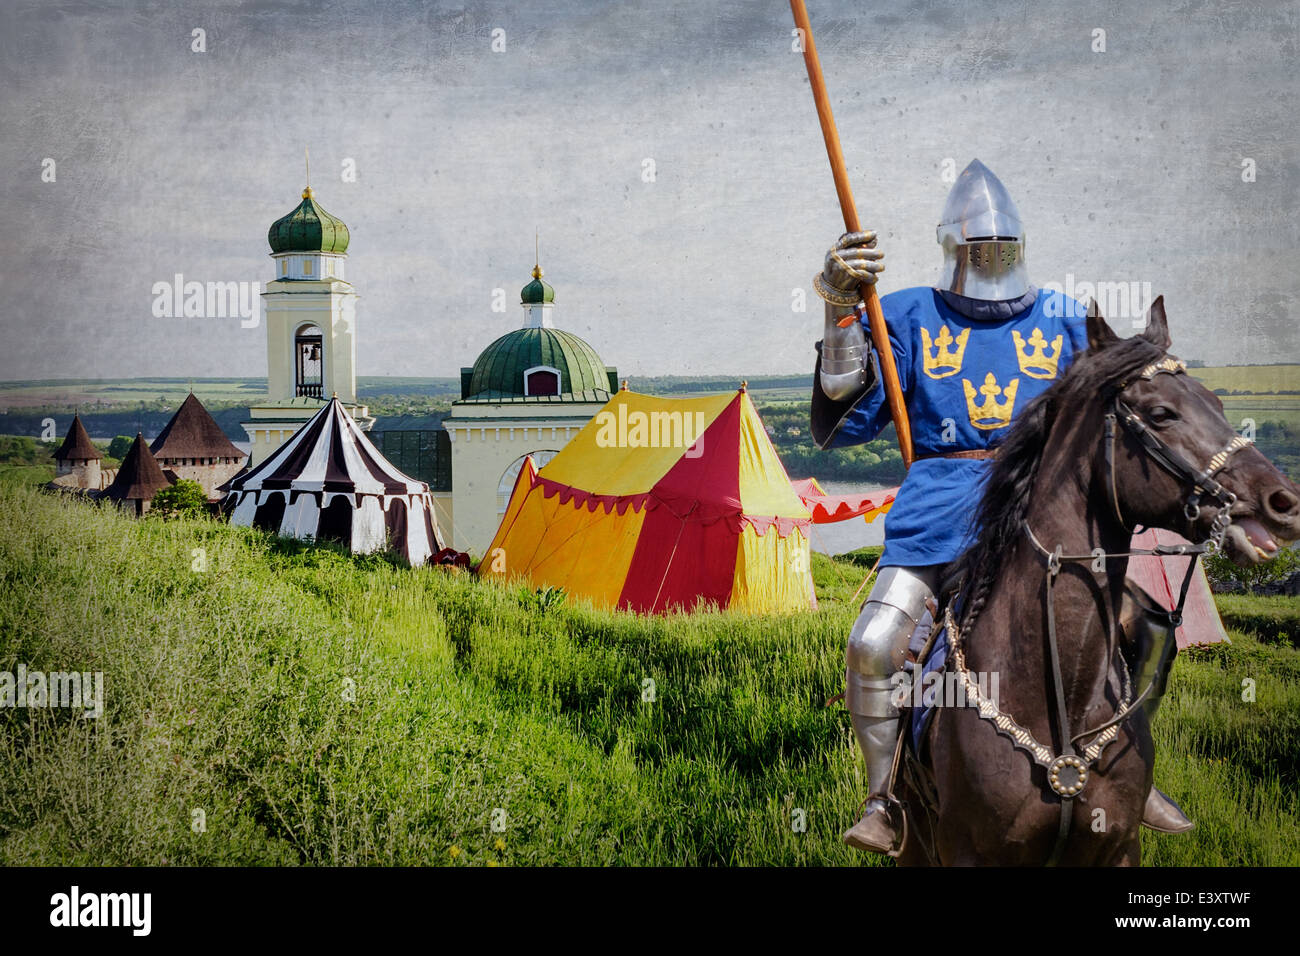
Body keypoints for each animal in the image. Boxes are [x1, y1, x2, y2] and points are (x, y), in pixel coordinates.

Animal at [894, 300, 1300, 868]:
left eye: (1218, 403)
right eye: (1161, 414)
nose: (1283, 503)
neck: (1058, 695)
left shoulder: (1118, 846)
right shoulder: (968, 851)